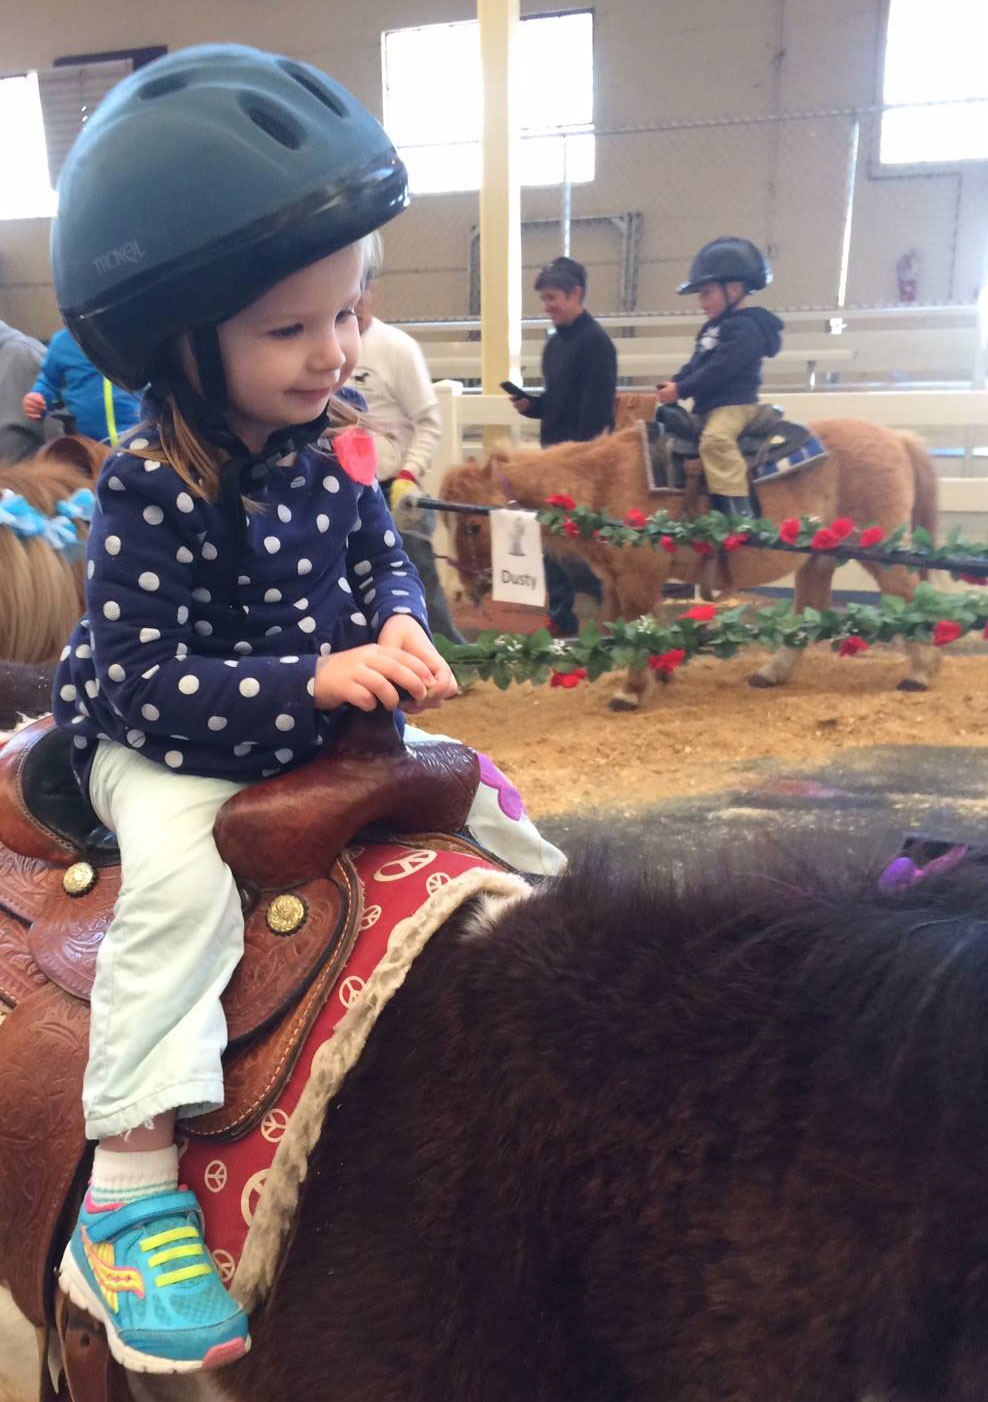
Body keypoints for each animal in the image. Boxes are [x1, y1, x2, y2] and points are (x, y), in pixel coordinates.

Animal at [440, 412, 941, 701]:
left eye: (472, 524)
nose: (468, 587)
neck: (602, 480)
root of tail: (897, 439)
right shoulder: (621, 580)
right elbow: (633, 628)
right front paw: (660, 676)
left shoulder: (638, 577)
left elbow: (638, 628)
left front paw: (631, 692)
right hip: (817, 558)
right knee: (809, 611)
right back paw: (772, 672)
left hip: (881, 553)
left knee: (908, 598)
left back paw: (920, 673)